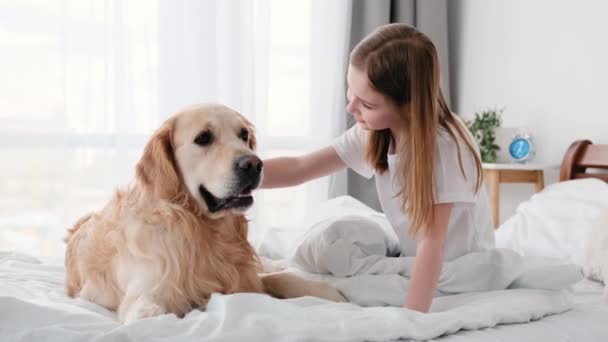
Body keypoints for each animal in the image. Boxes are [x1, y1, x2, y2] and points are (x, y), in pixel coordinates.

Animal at [65, 104, 346, 324]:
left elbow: (279, 278)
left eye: (243, 135)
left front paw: (329, 293)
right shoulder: (145, 299)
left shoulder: (245, 279)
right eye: (203, 138)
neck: (204, 230)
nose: (254, 164)